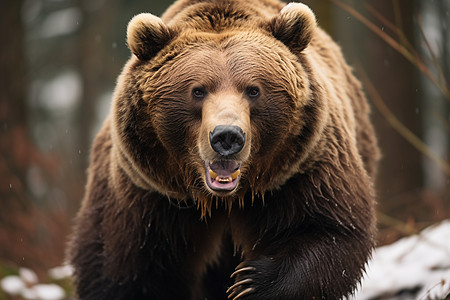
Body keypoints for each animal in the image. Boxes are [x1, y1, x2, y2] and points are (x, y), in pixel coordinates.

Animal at [68, 0, 380, 300]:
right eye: (197, 90)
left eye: (254, 90)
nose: (227, 136)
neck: (221, 200)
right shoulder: (147, 195)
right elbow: (122, 270)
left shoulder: (301, 170)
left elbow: (329, 231)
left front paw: (251, 282)